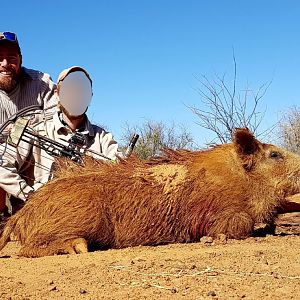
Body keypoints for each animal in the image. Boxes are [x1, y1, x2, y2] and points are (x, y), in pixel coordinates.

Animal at [0, 127, 300, 256]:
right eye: (275, 154)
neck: (241, 179)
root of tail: (22, 215)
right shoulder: (214, 218)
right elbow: (242, 224)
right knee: (27, 248)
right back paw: (78, 248)